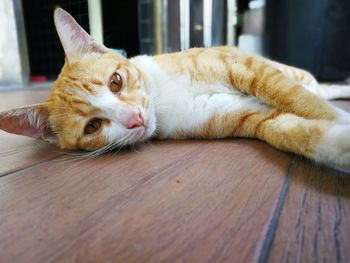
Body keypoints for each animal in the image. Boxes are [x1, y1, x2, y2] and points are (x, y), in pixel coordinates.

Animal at [0, 7, 350, 169]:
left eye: (116, 81)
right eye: (92, 127)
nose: (135, 118)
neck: (163, 98)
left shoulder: (245, 67)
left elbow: (296, 97)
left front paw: (337, 117)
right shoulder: (247, 115)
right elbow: (290, 131)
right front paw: (340, 139)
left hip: (290, 72)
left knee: (315, 88)